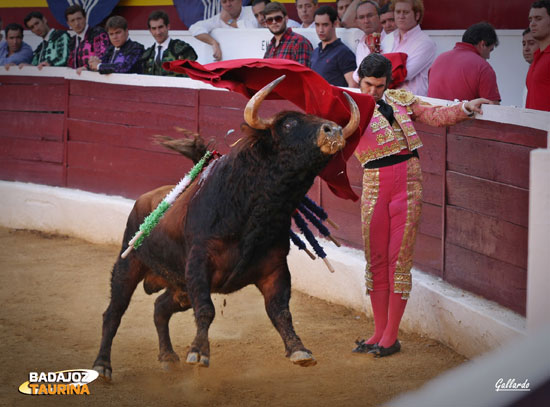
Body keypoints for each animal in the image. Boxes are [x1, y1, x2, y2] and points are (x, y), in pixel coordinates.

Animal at [94, 77, 362, 382]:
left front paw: (299, 350)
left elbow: (280, 311)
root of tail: (145, 199)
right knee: (114, 312)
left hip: (179, 288)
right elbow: (206, 310)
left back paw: (168, 357)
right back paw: (103, 365)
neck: (258, 211)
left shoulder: (275, 269)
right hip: (129, 265)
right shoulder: (198, 263)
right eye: (289, 123)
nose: (334, 129)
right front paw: (199, 353)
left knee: (160, 307)